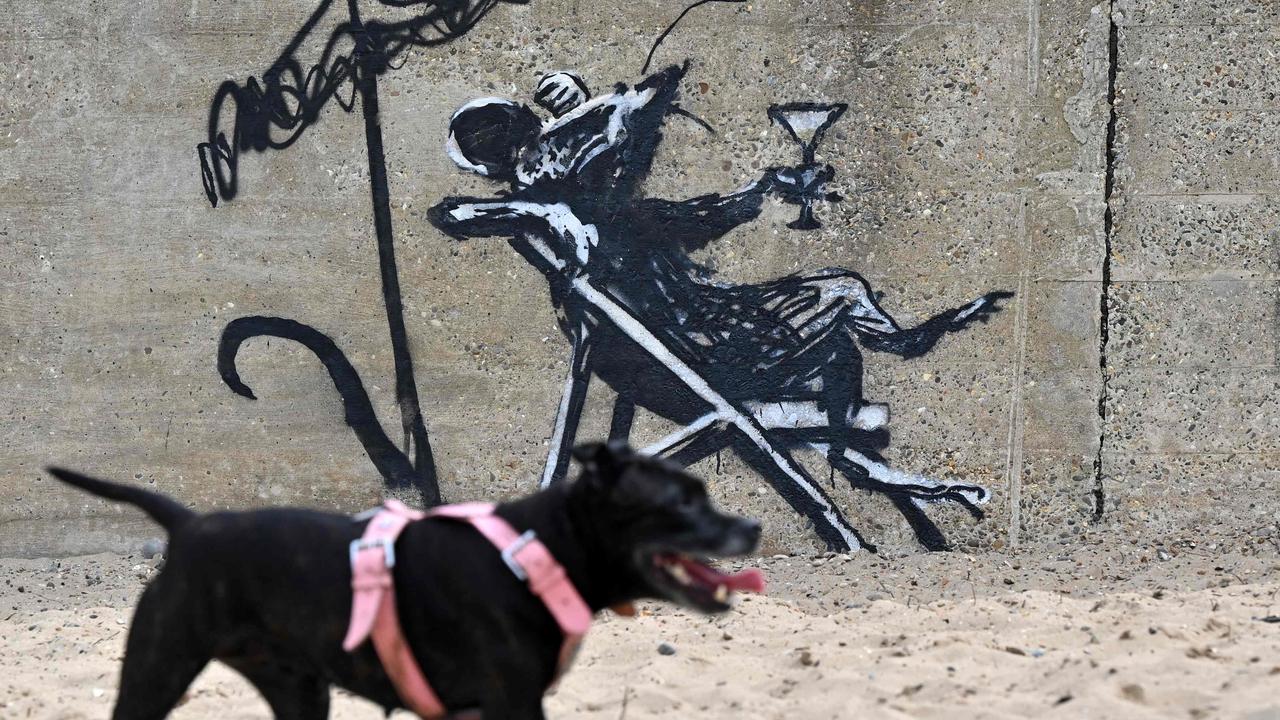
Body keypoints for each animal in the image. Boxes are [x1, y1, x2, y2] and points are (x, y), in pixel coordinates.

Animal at [49, 440, 757, 712]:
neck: (539, 549)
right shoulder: (512, 703)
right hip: (156, 672)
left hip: (299, 692)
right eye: (684, 501)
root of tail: (191, 525)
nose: (750, 527)